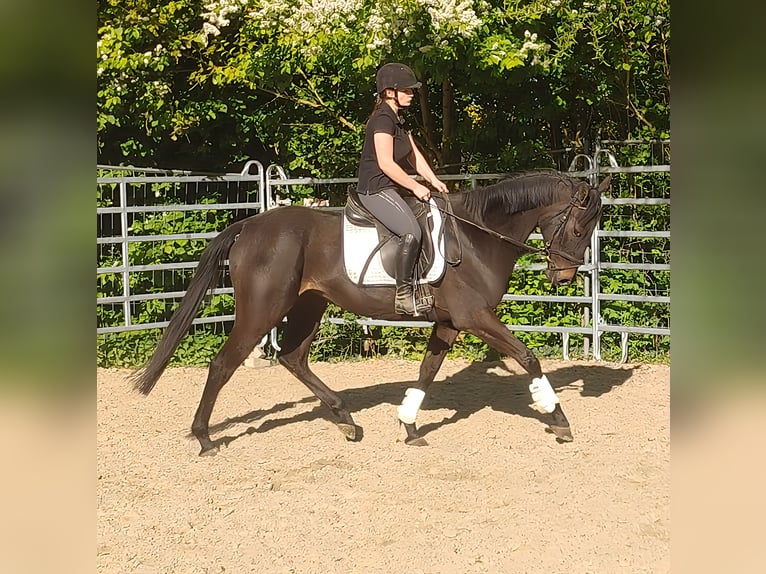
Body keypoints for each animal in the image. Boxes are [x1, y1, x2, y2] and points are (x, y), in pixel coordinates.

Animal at [131, 171, 611, 456]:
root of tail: (248, 225)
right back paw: (205, 438)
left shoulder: (449, 323)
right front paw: (558, 419)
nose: (564, 276)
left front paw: (409, 425)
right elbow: (528, 356)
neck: (479, 237)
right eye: (578, 226)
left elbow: (427, 371)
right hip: (264, 310)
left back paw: (345, 420)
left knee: (293, 358)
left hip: (309, 304)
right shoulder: (475, 317)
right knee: (223, 364)